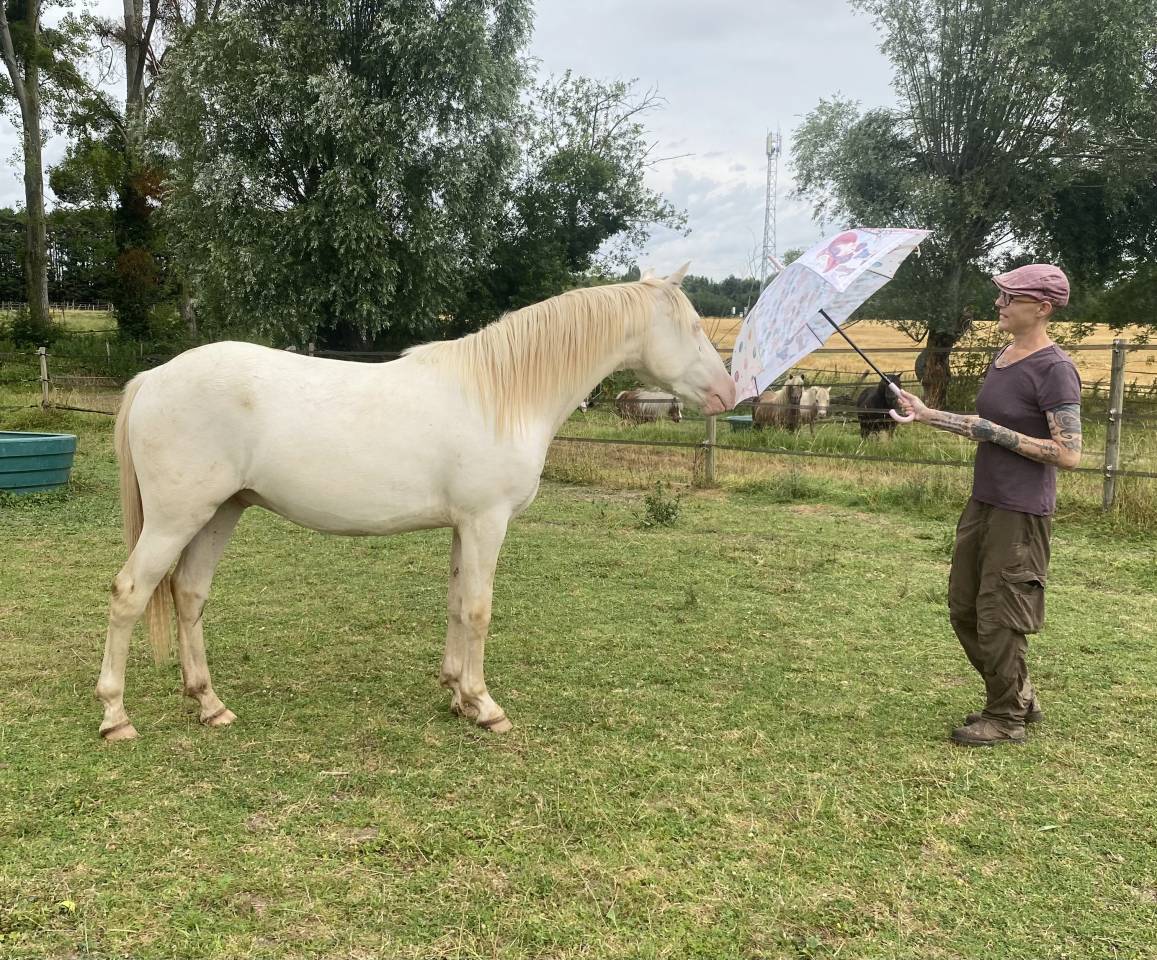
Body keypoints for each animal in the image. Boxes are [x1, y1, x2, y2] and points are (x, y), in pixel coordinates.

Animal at [95, 267, 735, 742]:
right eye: (694, 326)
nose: (729, 393)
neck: (501, 395)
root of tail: (154, 378)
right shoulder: (486, 523)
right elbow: (478, 610)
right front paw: (485, 705)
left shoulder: (463, 527)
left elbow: (455, 605)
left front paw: (456, 694)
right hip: (177, 518)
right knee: (130, 595)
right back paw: (116, 716)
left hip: (220, 512)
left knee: (188, 595)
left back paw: (209, 703)